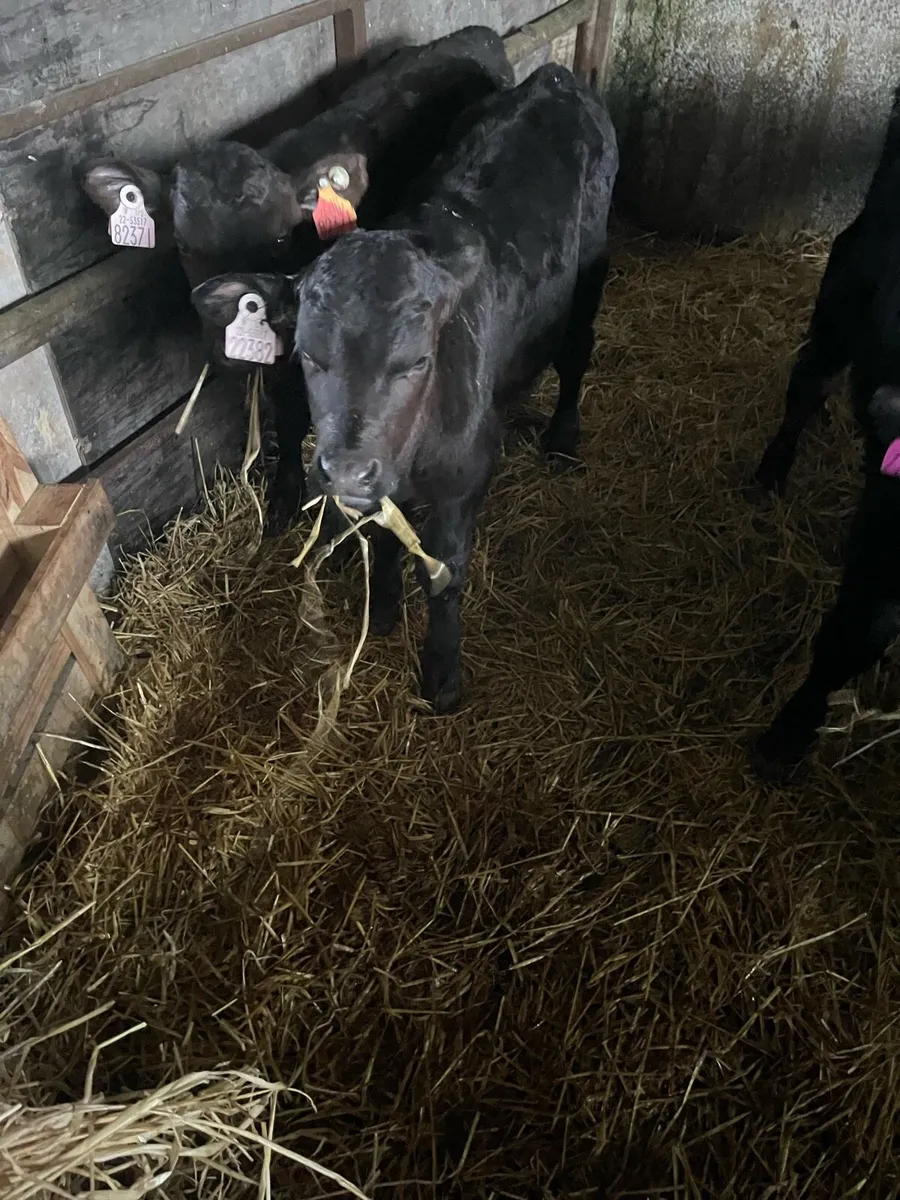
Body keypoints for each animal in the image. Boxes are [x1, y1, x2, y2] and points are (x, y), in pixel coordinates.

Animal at [80, 27, 514, 534]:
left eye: (281, 238)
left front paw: (286, 496)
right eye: (182, 247)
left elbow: (291, 417)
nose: (235, 322)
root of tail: (476, 34)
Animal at [190, 64, 619, 714]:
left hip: (590, 273)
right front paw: (386, 610)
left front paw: (442, 672)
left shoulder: (464, 478)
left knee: (575, 355)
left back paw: (563, 438)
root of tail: (554, 77)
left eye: (417, 360)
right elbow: (385, 542)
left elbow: (444, 572)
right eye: (308, 353)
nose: (345, 470)